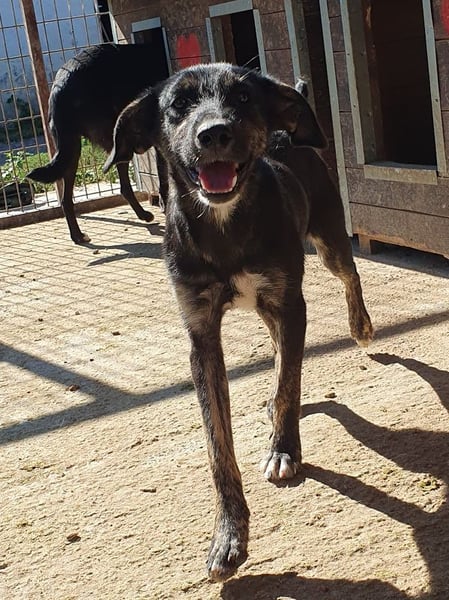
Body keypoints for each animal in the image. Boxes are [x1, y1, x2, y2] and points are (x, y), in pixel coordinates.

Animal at [27, 43, 168, 244]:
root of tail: (61, 86)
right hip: (116, 141)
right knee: (124, 185)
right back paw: (144, 215)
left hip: (71, 149)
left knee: (66, 199)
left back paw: (78, 235)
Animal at [104, 63, 374, 581]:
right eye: (178, 105)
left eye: (245, 97)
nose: (214, 134)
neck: (224, 227)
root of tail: (285, 139)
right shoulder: (202, 335)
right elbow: (218, 445)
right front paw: (228, 535)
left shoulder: (291, 303)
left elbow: (289, 382)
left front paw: (284, 450)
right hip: (270, 305)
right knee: (281, 352)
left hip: (328, 242)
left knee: (348, 277)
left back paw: (361, 326)